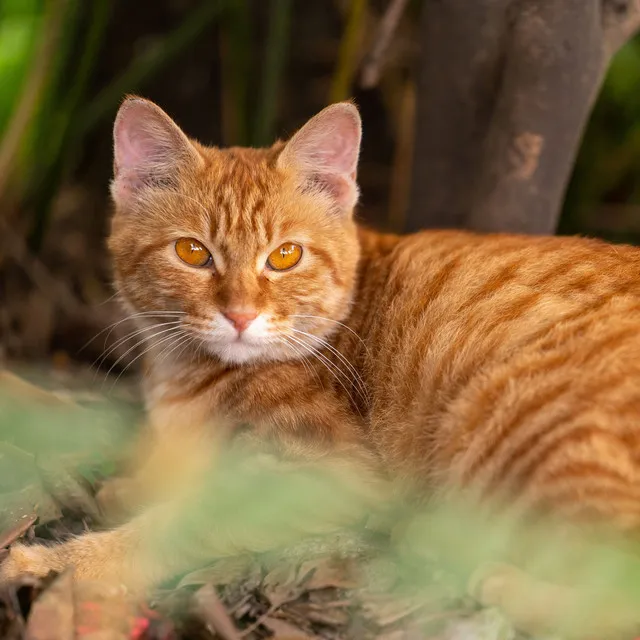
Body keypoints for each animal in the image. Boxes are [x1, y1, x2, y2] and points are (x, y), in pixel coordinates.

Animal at [3, 97, 640, 636]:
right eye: (192, 252)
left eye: (285, 256)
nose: (240, 314)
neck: (184, 376)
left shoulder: (329, 475)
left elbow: (184, 522)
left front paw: (51, 560)